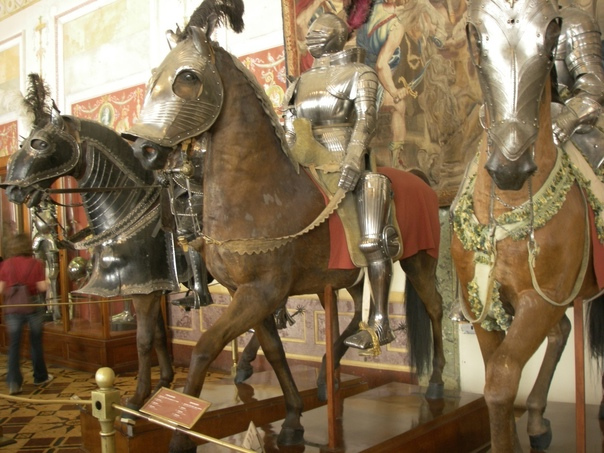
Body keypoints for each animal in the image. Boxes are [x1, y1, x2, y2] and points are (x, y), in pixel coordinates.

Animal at [0, 74, 205, 414]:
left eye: (40, 144)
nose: (11, 189)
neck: (128, 205)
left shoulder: (144, 291)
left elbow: (142, 341)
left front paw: (136, 399)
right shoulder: (149, 288)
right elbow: (159, 335)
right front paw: (161, 386)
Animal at [122, 1, 446, 451]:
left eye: (187, 77)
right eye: (151, 77)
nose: (143, 150)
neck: (260, 191)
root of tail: (420, 179)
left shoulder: (262, 291)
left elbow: (205, 347)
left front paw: (181, 433)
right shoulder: (248, 294)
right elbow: (275, 353)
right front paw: (293, 418)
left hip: (419, 259)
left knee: (427, 301)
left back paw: (433, 381)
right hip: (345, 277)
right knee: (356, 308)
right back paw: (332, 373)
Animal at [450, 1, 604, 451]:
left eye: (549, 46)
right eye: (480, 47)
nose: (510, 167)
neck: (507, 208)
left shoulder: (540, 299)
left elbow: (502, 379)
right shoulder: (481, 302)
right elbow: (494, 380)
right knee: (562, 331)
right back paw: (536, 421)